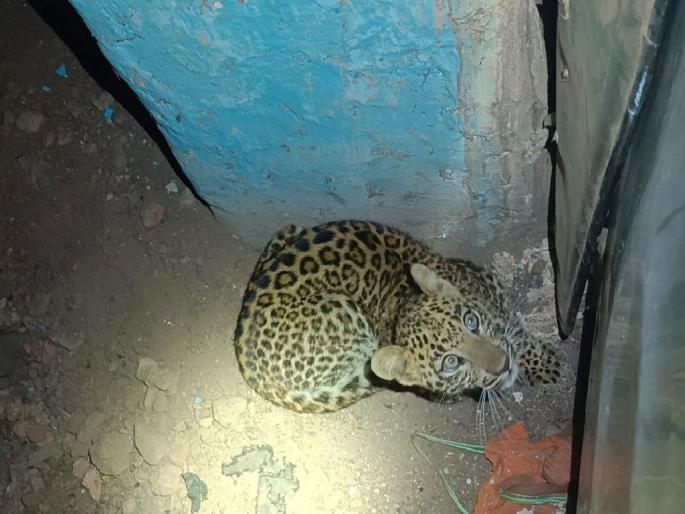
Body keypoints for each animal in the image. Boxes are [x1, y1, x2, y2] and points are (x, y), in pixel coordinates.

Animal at [234, 220, 562, 413]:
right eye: (451, 363)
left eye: (471, 321)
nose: (504, 365)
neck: (404, 300)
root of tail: (250, 367)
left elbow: (513, 331)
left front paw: (546, 365)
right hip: (341, 306)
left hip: (288, 231)